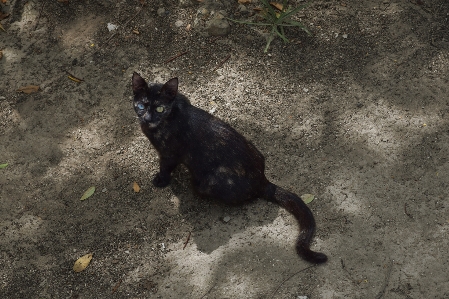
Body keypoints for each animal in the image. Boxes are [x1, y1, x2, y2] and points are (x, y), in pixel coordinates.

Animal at [131, 73, 328, 264]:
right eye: (141, 105)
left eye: (159, 109)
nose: (147, 118)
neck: (169, 115)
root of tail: (263, 180)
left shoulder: (169, 153)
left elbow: (165, 167)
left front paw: (161, 179)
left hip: (207, 183)